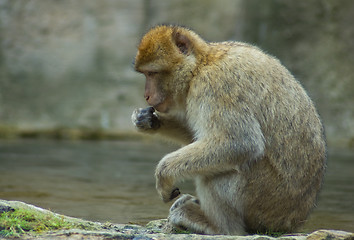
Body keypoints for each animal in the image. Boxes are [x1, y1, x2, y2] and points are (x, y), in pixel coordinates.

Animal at [131, 25, 326, 235]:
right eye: (145, 74)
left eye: (152, 73)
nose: (146, 95)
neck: (201, 65)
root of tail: (293, 222)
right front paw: (148, 120)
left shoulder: (214, 85)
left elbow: (240, 143)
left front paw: (163, 172)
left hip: (263, 200)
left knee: (219, 170)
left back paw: (217, 226)